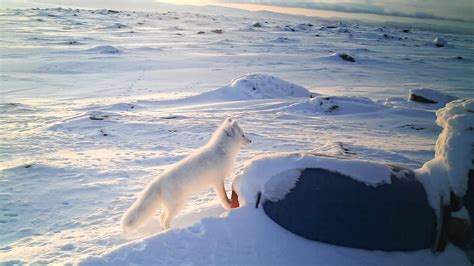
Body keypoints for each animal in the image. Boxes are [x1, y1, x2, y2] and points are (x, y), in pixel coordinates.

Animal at [121, 118, 252, 233]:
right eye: (243, 135)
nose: (251, 141)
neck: (222, 151)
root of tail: (158, 181)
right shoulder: (217, 180)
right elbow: (223, 196)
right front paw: (229, 204)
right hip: (177, 205)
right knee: (165, 220)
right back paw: (170, 231)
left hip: (171, 205)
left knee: (161, 218)